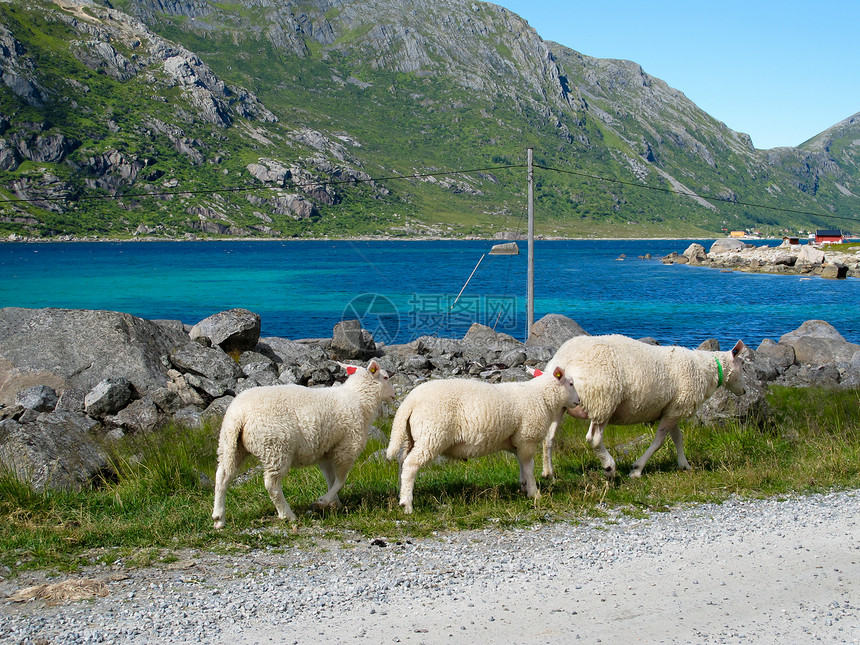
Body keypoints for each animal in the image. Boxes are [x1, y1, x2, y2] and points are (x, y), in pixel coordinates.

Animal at [212, 358, 394, 528]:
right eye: (385, 377)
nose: (393, 395)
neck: (359, 399)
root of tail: (239, 415)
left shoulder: (326, 451)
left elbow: (331, 478)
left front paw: (334, 503)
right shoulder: (347, 447)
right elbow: (341, 480)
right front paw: (324, 500)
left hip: (231, 444)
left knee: (222, 476)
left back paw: (219, 518)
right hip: (275, 448)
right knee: (272, 485)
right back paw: (287, 515)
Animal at [382, 368, 576, 512]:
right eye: (571, 383)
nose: (578, 401)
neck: (542, 396)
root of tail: (409, 402)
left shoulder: (517, 441)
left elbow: (522, 464)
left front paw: (524, 486)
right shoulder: (527, 437)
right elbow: (529, 466)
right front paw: (534, 493)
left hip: (413, 437)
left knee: (402, 461)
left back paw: (401, 493)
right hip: (431, 436)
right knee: (411, 465)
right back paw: (407, 504)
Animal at [544, 334, 744, 480]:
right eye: (743, 365)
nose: (744, 390)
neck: (705, 369)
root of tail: (565, 362)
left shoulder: (673, 409)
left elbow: (678, 438)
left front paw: (684, 464)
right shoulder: (676, 409)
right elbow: (659, 442)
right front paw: (637, 469)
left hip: (560, 404)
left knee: (549, 437)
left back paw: (549, 473)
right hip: (604, 401)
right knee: (594, 439)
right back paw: (609, 467)